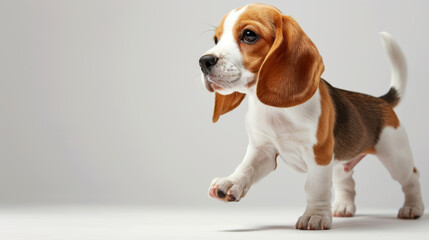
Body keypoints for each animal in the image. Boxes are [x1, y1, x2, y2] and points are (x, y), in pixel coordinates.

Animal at [197, 3, 422, 229]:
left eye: (249, 35)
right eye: (216, 39)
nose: (203, 61)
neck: (276, 110)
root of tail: (382, 101)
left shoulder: (319, 154)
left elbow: (315, 187)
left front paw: (316, 216)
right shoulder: (263, 150)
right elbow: (246, 167)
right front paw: (231, 182)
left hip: (395, 155)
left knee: (411, 177)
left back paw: (413, 207)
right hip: (340, 160)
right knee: (346, 180)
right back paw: (343, 206)